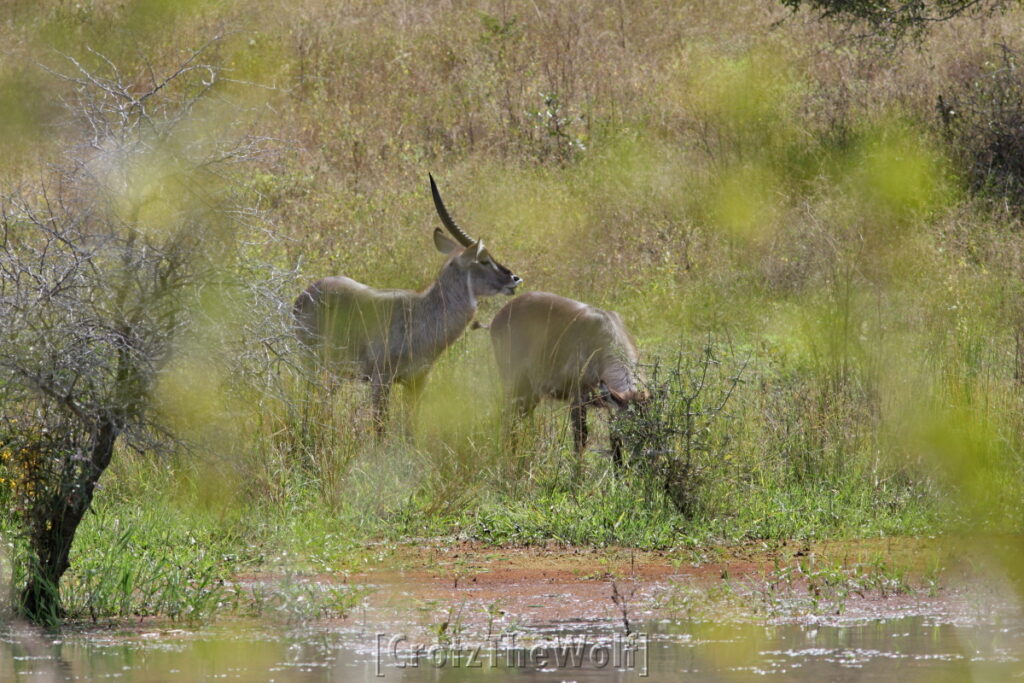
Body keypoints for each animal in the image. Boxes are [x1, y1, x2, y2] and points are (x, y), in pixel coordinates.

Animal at [294, 175, 520, 432]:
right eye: (483, 259)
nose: (514, 279)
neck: (422, 314)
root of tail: (305, 294)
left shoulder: (417, 381)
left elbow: (412, 426)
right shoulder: (380, 380)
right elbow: (380, 427)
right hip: (313, 364)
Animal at [489, 290, 647, 466]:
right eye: (629, 427)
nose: (641, 459)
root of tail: (498, 315)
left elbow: (614, 441)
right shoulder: (577, 397)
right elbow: (581, 439)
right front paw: (578, 472)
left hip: (531, 392)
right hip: (514, 382)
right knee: (507, 418)